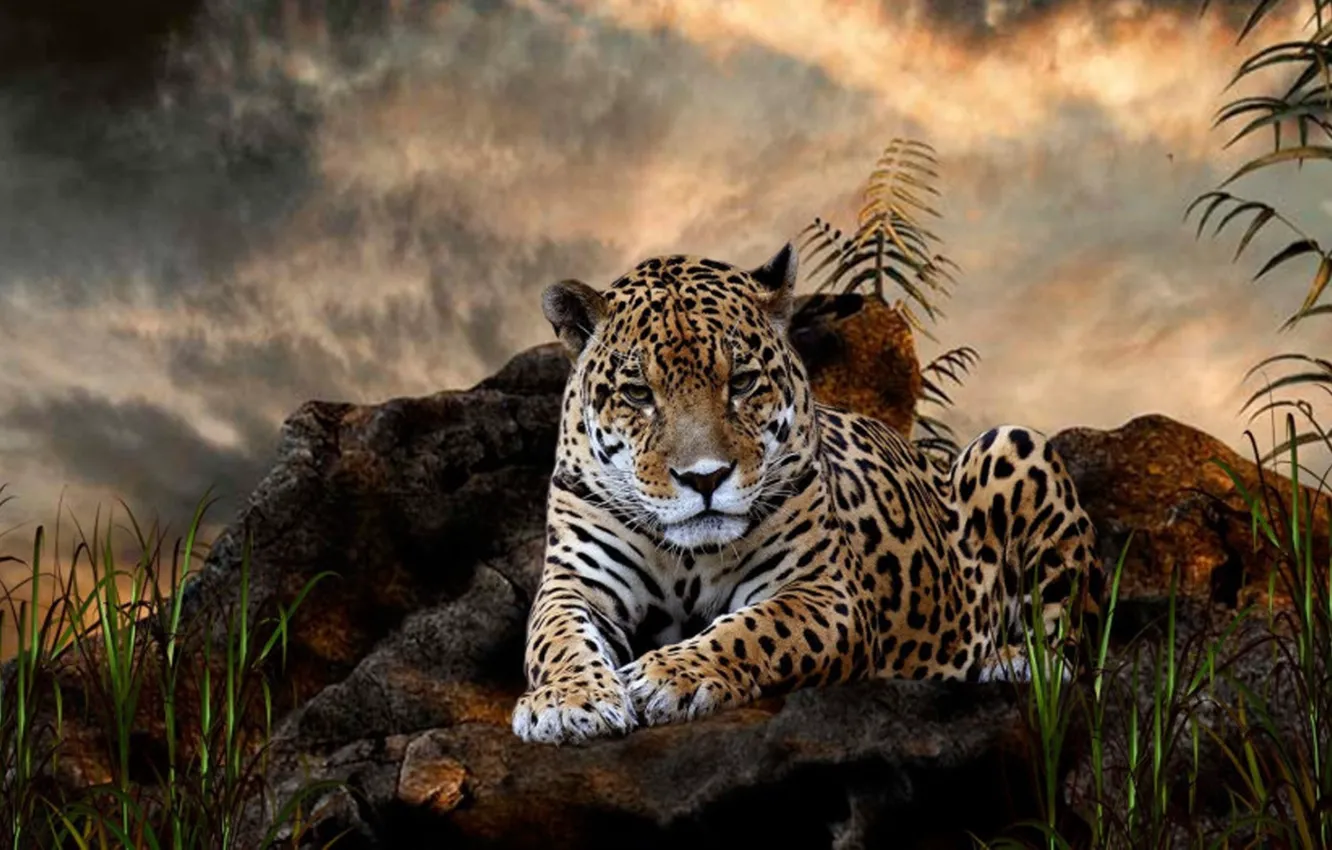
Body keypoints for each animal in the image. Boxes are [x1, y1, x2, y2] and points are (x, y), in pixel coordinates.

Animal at [511, 241, 1103, 745]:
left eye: (742, 382)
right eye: (637, 393)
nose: (705, 478)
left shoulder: (823, 592)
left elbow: (753, 630)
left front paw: (669, 675)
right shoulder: (576, 583)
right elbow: (557, 637)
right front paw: (567, 701)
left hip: (1014, 445)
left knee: (1072, 648)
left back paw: (1011, 662)